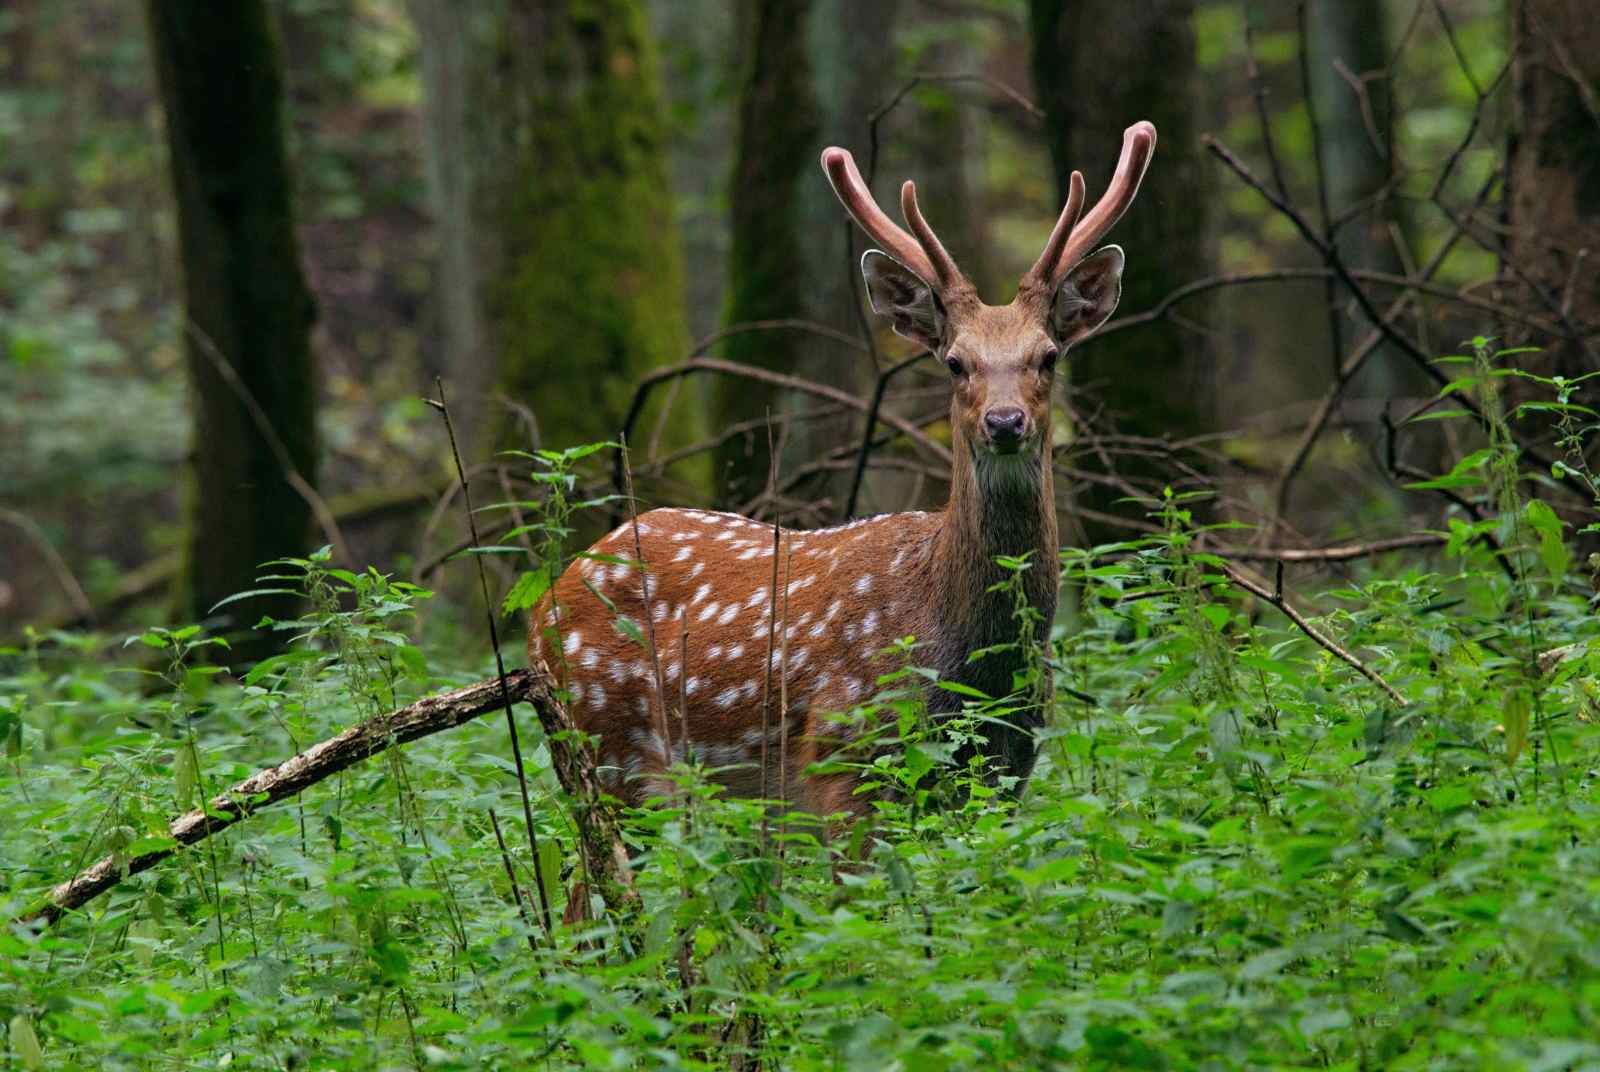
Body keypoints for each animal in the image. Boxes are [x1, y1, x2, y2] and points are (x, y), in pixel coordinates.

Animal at [528, 120, 1156, 825]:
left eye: (1048, 356)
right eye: (955, 362)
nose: (1004, 421)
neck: (972, 668)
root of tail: (547, 599)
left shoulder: (1008, 769)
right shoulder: (845, 753)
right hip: (608, 748)